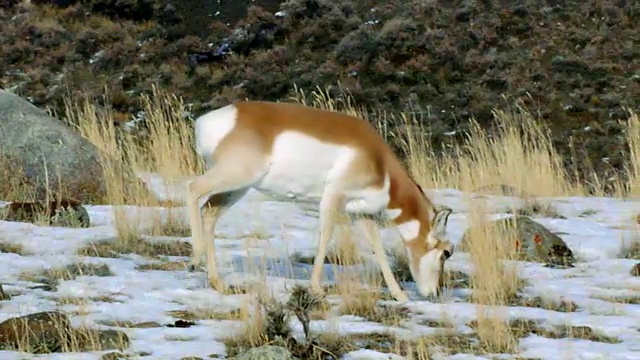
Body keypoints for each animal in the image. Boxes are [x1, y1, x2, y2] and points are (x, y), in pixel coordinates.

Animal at [186, 100, 456, 302]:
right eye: (447, 252)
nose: (435, 292)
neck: (379, 162)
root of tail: (209, 120)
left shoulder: (363, 213)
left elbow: (377, 248)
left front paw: (399, 295)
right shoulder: (333, 196)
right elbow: (325, 235)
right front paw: (316, 288)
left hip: (237, 188)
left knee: (208, 211)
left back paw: (218, 282)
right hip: (235, 177)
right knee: (192, 189)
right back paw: (195, 259)